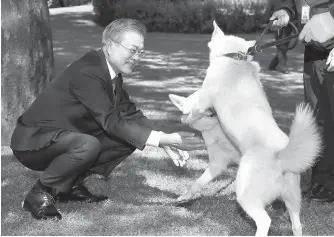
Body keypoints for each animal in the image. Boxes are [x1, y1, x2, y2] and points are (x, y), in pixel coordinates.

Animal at [168, 21, 322, 236]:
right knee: (297, 225)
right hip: (292, 199)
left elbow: (195, 109)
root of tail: (281, 156)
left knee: (265, 221)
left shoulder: (204, 100)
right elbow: (198, 182)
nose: (212, 115)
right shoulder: (217, 164)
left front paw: (186, 118)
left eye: (210, 112)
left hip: (245, 194)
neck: (234, 58)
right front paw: (185, 196)